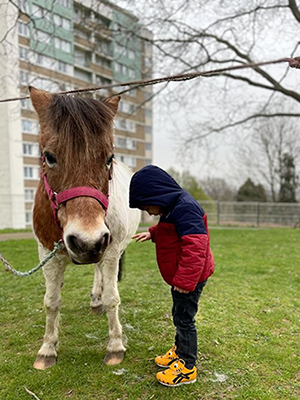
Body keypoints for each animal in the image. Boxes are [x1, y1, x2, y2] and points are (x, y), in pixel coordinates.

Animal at [28, 86, 141, 368]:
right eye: (49, 157)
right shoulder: (47, 255)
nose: (87, 240)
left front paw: (115, 346)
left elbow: (113, 298)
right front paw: (47, 349)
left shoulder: (109, 251)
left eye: (109, 158)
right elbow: (51, 302)